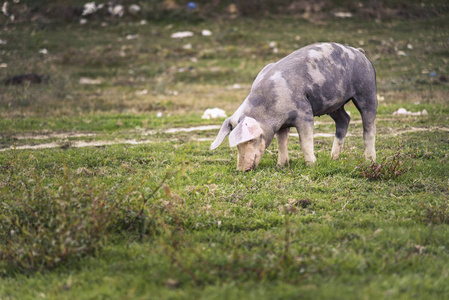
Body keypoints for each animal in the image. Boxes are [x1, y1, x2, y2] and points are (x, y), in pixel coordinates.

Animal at [209, 42, 374, 171]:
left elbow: (304, 142)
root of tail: (359, 52)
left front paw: (311, 165)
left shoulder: (304, 113)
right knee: (344, 119)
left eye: (250, 140)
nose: (241, 169)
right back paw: (333, 158)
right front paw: (281, 166)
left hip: (366, 89)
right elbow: (281, 143)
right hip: (334, 105)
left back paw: (370, 161)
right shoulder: (282, 124)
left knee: (368, 126)